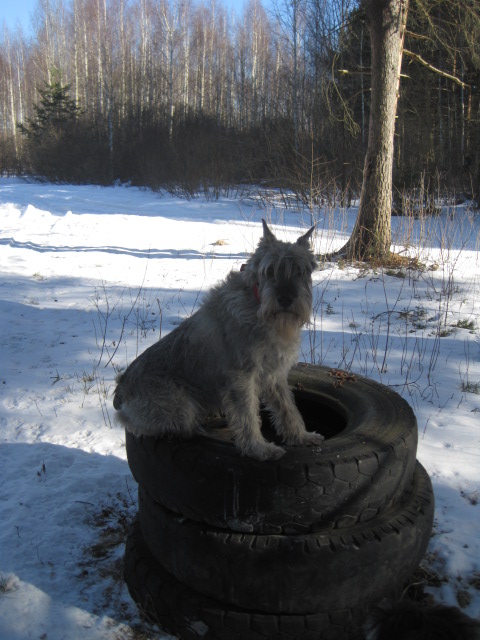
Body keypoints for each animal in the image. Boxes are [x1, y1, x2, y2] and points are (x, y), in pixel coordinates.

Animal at [113, 219, 324, 460]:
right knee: (168, 427)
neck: (257, 305)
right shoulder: (241, 377)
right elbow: (247, 415)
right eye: (270, 271)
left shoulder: (275, 374)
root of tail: (119, 394)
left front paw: (301, 436)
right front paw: (258, 449)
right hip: (180, 407)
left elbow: (288, 409)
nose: (286, 298)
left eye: (301, 271)